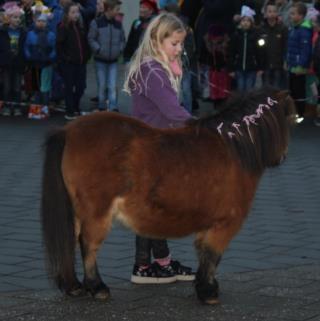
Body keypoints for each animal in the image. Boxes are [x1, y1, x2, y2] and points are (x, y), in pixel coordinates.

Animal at [41, 87, 296, 302]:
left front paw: (203, 286)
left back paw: (73, 286)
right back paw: (97, 287)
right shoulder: (225, 224)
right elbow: (213, 255)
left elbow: (203, 253)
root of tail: (68, 131)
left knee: (71, 240)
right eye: (290, 119)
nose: (283, 156)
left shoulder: (207, 224)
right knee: (88, 245)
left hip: (76, 211)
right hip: (96, 213)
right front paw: (208, 292)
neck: (232, 148)